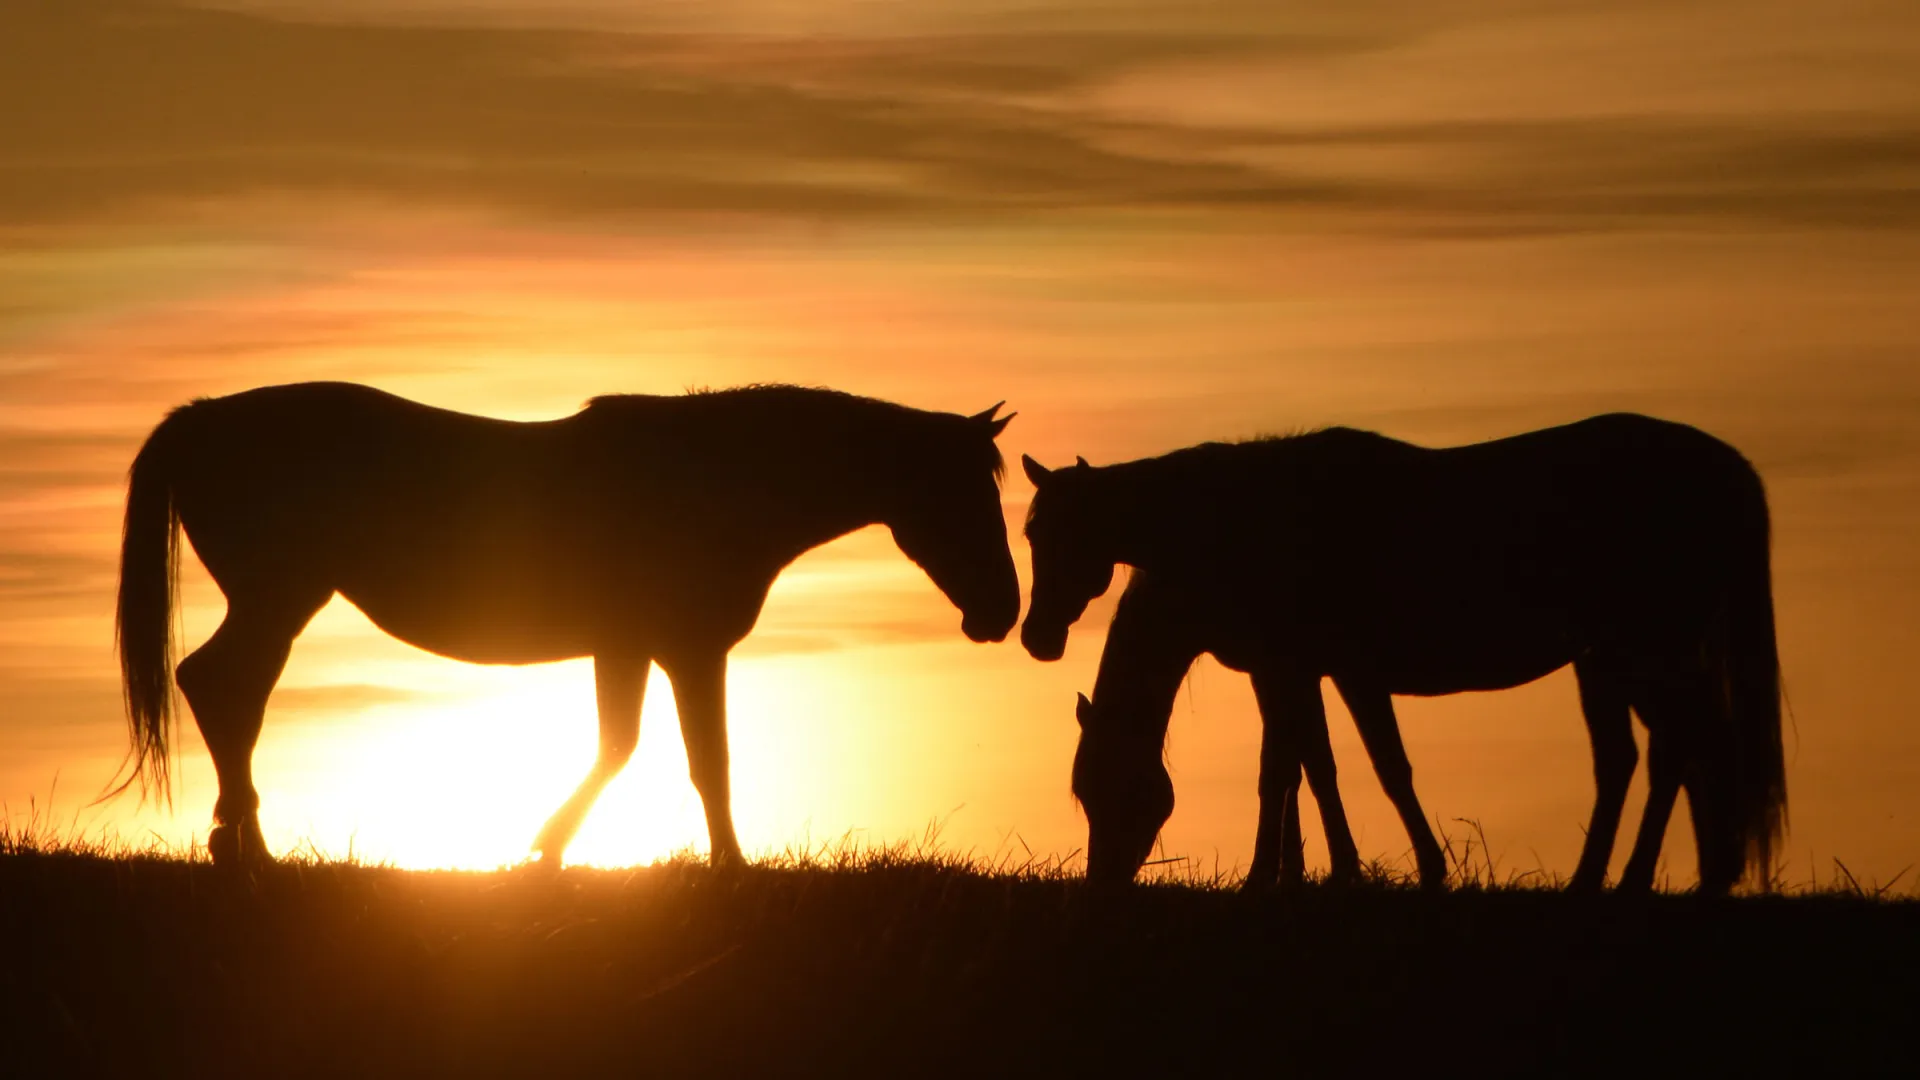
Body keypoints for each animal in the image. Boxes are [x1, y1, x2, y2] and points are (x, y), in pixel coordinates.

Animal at [115, 381, 1020, 868]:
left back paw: (239, 843)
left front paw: (548, 848)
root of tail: (201, 417)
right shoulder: (686, 650)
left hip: (278, 600)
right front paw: (729, 868)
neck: (716, 478)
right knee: (221, 687)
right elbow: (704, 762)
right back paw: (248, 848)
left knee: (226, 690)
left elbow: (626, 748)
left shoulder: (632, 649)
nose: (1003, 612)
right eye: (964, 493)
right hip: (278, 596)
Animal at [1072, 569, 1446, 890]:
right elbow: (1304, 768)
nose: (1102, 878)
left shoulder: (1318, 670)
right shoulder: (1279, 671)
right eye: (1082, 792)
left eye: (1123, 786)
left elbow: (1312, 769)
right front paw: (1299, 872)